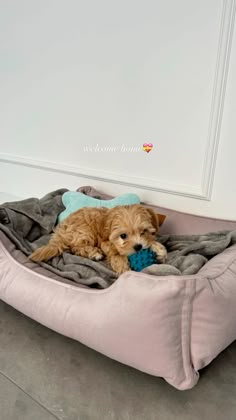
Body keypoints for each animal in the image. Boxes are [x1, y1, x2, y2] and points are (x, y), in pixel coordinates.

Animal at [30, 204, 167, 276]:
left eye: (143, 232)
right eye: (123, 236)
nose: (138, 247)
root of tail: (60, 232)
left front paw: (159, 250)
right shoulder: (105, 242)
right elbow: (115, 254)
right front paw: (122, 267)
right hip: (85, 231)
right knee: (75, 247)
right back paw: (94, 253)